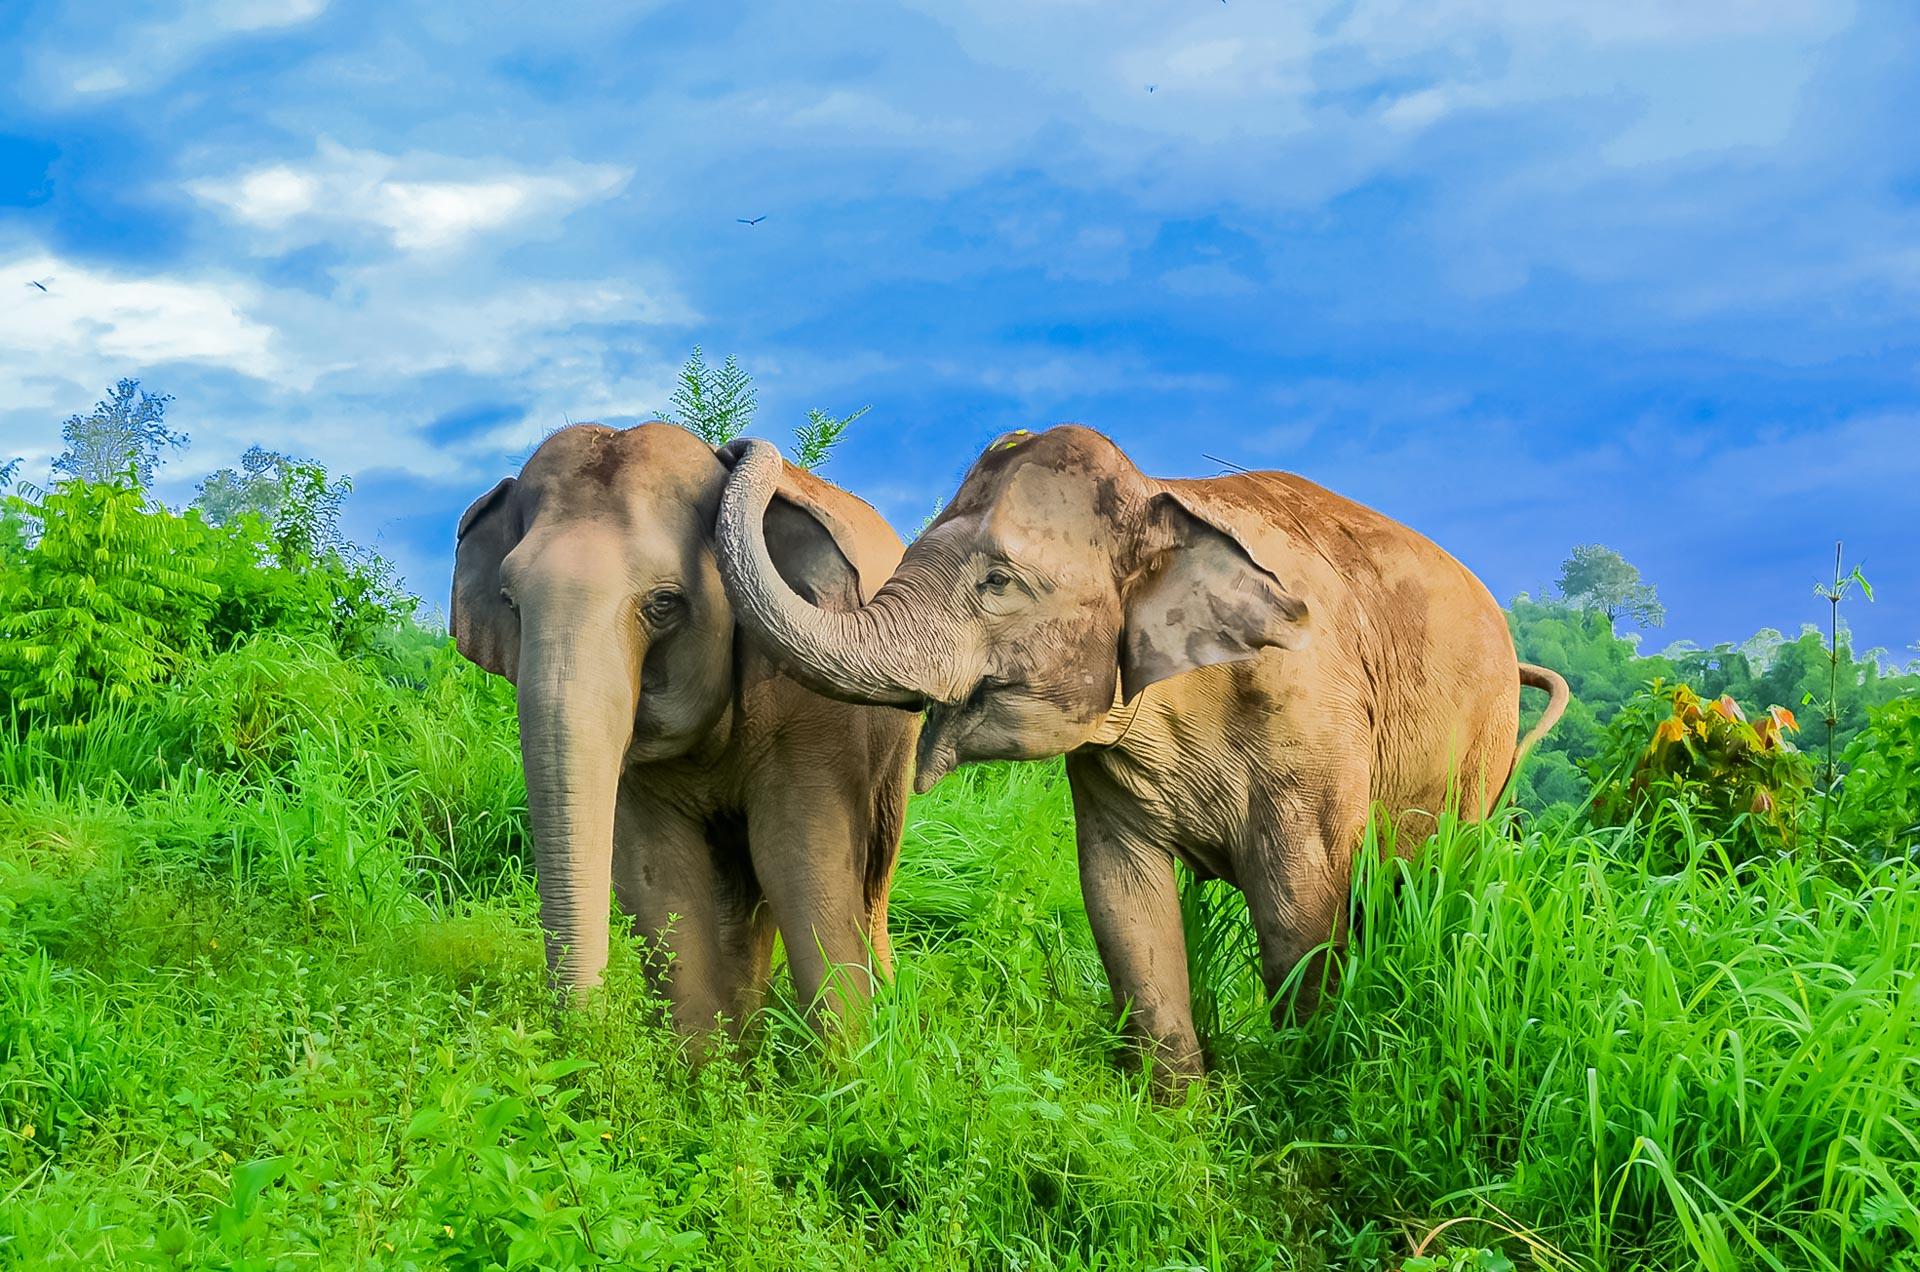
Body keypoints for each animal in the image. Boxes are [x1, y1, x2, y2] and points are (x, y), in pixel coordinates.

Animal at [450, 422, 917, 1044]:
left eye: (664, 603)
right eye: (510, 603)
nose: (583, 1036)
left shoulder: (815, 711)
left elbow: (802, 860)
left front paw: (849, 1061)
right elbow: (659, 877)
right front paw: (711, 1065)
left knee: (872, 869)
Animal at [714, 424, 1569, 1080]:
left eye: (999, 582)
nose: (736, 446)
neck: (1169, 497)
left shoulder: (1316, 728)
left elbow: (1299, 909)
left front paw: (1304, 1081)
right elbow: (1120, 894)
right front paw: (1177, 1109)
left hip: (1480, 748)